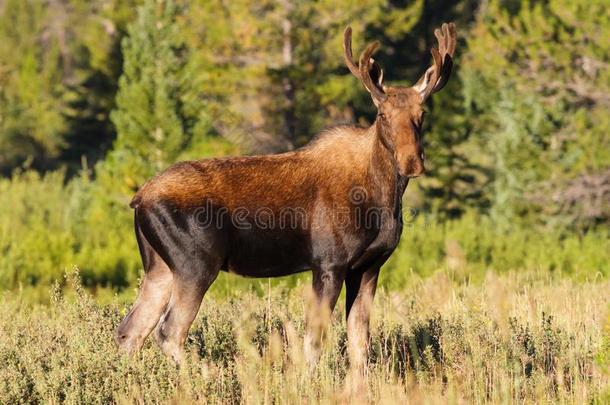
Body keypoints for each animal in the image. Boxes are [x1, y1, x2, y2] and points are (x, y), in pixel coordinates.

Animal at [116, 22, 454, 366]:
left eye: (422, 114)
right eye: (382, 115)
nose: (411, 162)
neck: (383, 198)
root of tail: (138, 199)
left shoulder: (369, 266)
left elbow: (360, 343)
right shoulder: (329, 264)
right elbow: (313, 342)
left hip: (159, 267)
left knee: (131, 329)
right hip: (195, 264)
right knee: (168, 331)